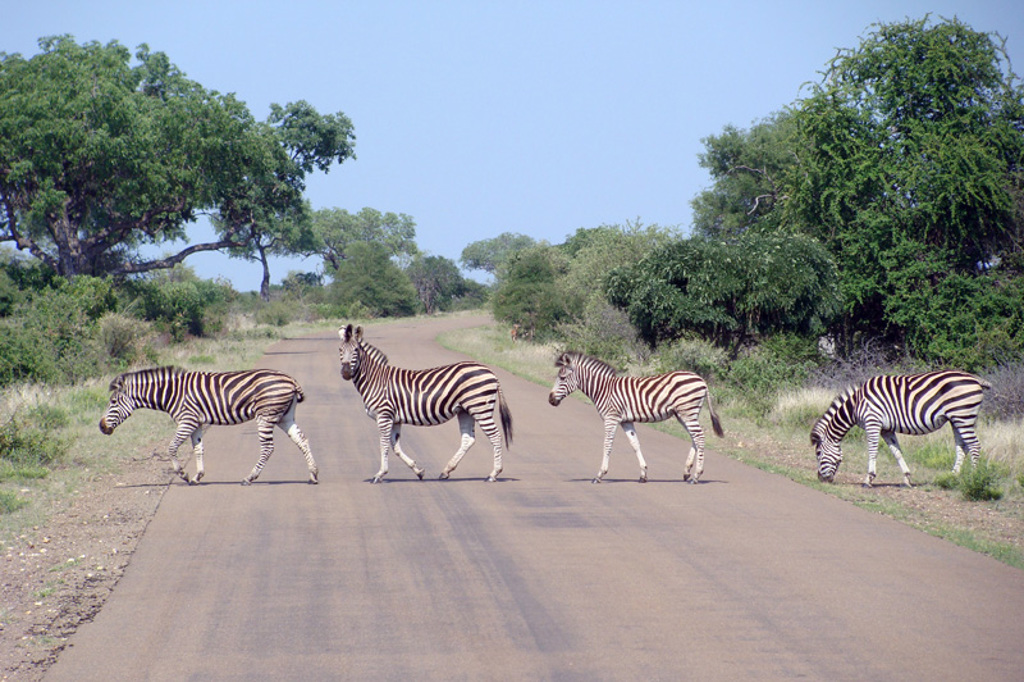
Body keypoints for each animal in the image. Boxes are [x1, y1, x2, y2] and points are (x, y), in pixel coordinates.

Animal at [99, 367, 319, 486]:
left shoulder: (187, 420)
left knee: (268, 448)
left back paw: (249, 477)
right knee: (302, 439)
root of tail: (290, 379)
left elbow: (171, 447)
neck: (171, 393)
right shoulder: (195, 423)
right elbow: (198, 449)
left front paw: (183, 474)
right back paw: (313, 474)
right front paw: (197, 476)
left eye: (113, 402)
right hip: (284, 416)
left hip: (266, 415)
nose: (101, 427)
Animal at [337, 324, 513, 483]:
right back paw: (446, 471)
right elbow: (395, 446)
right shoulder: (395, 419)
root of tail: (490, 371)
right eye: (340, 350)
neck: (375, 380)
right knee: (468, 439)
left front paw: (379, 474)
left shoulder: (384, 415)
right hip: (465, 410)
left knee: (496, 436)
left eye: (356, 350)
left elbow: (384, 444)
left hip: (480, 408)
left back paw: (493, 474)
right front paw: (418, 471)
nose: (345, 373)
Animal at [548, 351, 724, 484]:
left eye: (562, 378)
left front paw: (599, 475)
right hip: (683, 413)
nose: (550, 400)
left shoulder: (611, 419)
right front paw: (643, 474)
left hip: (687, 411)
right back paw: (687, 472)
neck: (603, 390)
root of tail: (701, 380)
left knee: (699, 437)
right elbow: (635, 444)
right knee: (694, 437)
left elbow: (607, 445)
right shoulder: (626, 421)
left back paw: (696, 476)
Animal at [810, 371, 991, 487]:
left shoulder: (873, 422)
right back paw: (952, 477)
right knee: (962, 448)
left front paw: (868, 479)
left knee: (974, 446)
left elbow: (872, 450)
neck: (856, 404)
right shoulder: (886, 429)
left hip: (963, 416)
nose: (820, 479)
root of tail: (975, 379)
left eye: (818, 453)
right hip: (956, 420)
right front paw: (907, 478)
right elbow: (896, 452)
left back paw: (972, 480)